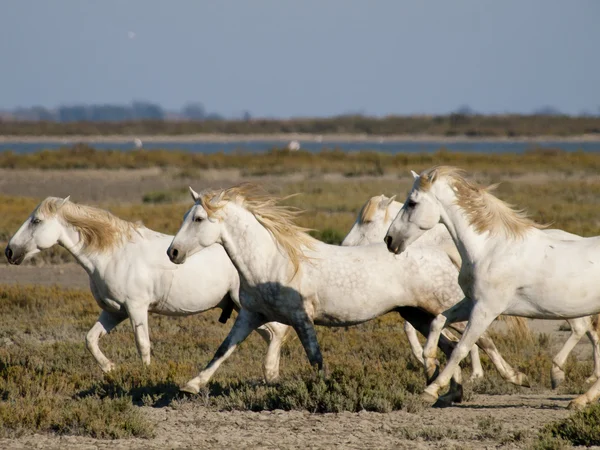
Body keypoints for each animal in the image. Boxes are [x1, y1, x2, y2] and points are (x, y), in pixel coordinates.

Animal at [4, 197, 290, 380]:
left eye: (36, 221)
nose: (9, 251)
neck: (113, 254)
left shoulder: (137, 309)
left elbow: (143, 345)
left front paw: (145, 375)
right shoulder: (114, 312)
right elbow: (90, 339)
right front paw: (110, 369)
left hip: (249, 308)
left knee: (277, 332)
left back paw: (271, 374)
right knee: (273, 334)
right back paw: (271, 375)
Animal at [165, 186, 528, 400]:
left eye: (198, 218)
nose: (173, 253)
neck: (272, 261)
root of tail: (439, 253)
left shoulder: (301, 317)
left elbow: (315, 356)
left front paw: (324, 389)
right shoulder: (251, 316)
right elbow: (223, 350)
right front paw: (191, 385)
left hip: (443, 307)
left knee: (481, 340)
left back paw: (515, 378)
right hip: (418, 315)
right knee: (452, 346)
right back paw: (447, 390)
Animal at [386, 167, 600, 410]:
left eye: (412, 203)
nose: (389, 240)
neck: (490, 249)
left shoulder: (486, 309)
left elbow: (461, 348)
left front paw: (431, 390)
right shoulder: (471, 302)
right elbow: (438, 321)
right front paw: (430, 363)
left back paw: (575, 393)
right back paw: (578, 397)